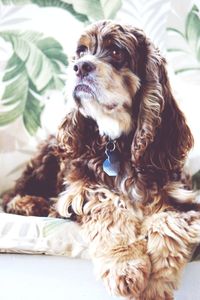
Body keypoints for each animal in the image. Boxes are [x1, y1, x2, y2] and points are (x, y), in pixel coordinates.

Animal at [3, 19, 200, 298]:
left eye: (116, 52)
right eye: (81, 51)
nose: (79, 67)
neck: (119, 143)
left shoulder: (184, 200)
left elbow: (167, 222)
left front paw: (157, 283)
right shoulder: (82, 190)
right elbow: (110, 208)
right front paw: (126, 266)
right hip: (47, 158)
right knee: (11, 196)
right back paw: (33, 205)